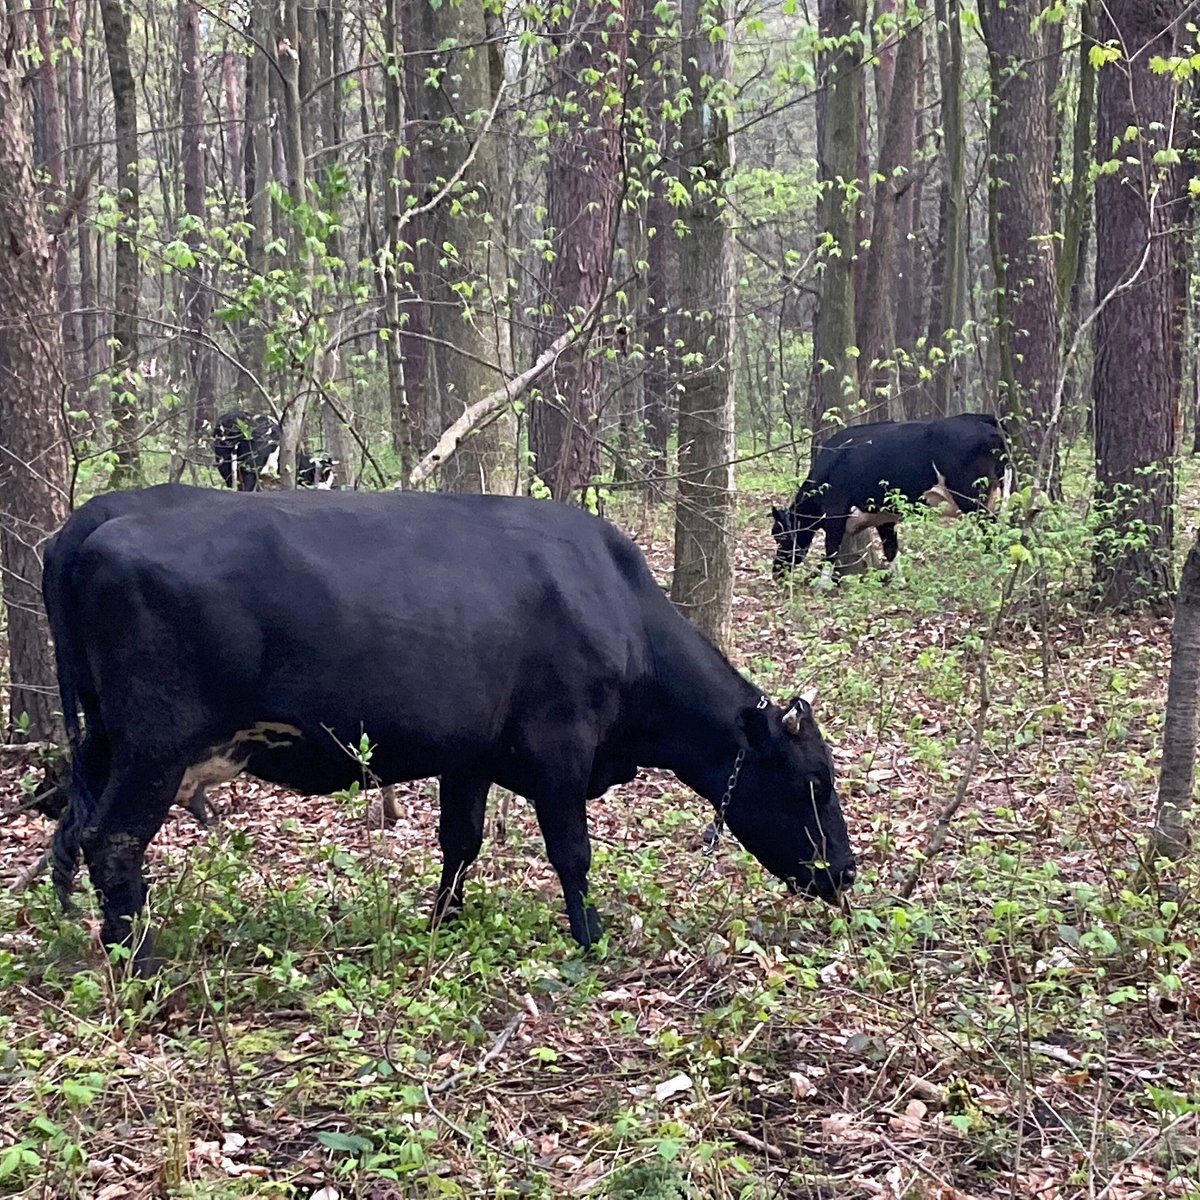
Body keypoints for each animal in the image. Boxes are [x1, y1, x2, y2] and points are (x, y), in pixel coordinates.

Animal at [42, 484, 859, 964]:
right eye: (815, 781)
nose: (846, 872)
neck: (614, 603)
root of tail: (87, 524)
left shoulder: (470, 755)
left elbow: (460, 841)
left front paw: (444, 922)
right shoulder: (561, 747)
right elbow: (572, 853)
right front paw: (591, 939)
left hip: (103, 742)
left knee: (73, 833)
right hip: (156, 745)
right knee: (113, 839)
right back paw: (138, 959)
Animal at [772, 412, 1008, 576]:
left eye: (779, 535)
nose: (776, 571)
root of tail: (984, 419)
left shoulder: (835, 512)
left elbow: (831, 550)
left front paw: (823, 586)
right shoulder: (884, 517)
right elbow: (891, 549)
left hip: (973, 498)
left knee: (991, 530)